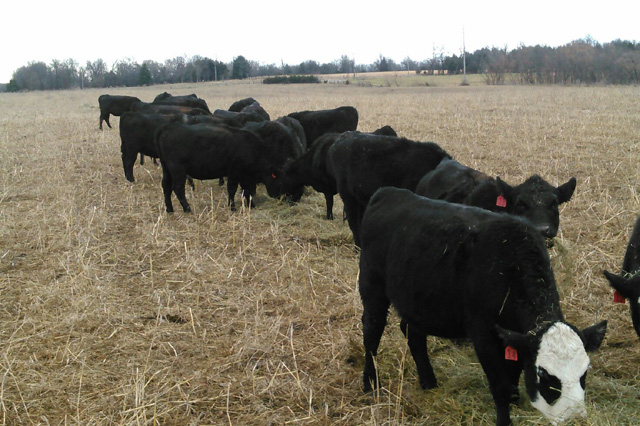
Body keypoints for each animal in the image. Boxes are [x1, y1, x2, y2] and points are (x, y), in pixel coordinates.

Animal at [154, 123, 282, 211]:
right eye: (278, 179)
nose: (279, 197)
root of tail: (167, 128)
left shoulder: (244, 177)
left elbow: (246, 190)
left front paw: (251, 205)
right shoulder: (234, 173)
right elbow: (232, 189)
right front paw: (232, 207)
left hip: (167, 169)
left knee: (166, 186)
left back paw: (169, 209)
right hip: (177, 170)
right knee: (178, 188)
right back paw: (187, 208)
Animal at [360, 188, 604, 426]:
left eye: (584, 373)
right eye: (545, 375)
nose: (574, 418)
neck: (509, 268)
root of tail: (387, 193)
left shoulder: (513, 336)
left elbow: (513, 372)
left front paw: (515, 399)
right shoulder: (483, 335)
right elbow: (500, 385)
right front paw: (505, 418)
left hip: (415, 299)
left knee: (412, 332)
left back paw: (429, 381)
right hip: (372, 286)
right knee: (372, 331)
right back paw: (371, 385)